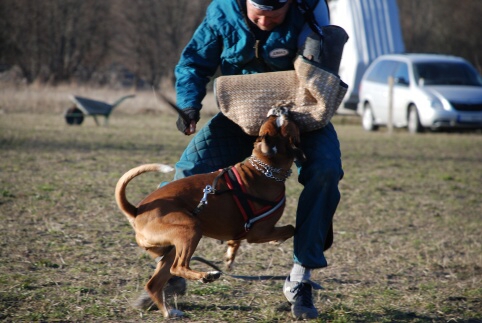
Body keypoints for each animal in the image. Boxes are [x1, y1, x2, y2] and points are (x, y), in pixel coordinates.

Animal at [115, 107, 306, 318]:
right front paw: (277, 240)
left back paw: (170, 312)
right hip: (190, 229)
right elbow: (290, 228)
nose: (281, 109)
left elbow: (237, 241)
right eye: (280, 123)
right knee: (179, 267)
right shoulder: (258, 233)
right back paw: (206, 276)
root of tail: (137, 210)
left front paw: (231, 253)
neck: (264, 168)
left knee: (154, 284)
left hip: (172, 247)